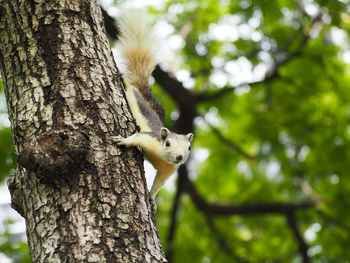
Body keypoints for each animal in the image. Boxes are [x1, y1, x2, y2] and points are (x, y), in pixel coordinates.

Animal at [112, 9, 193, 200]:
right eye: (168, 143)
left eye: (189, 147)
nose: (179, 157)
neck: (163, 158)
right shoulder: (149, 139)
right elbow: (136, 137)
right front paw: (123, 140)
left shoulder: (168, 171)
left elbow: (159, 183)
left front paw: (151, 197)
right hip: (132, 92)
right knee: (130, 86)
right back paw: (123, 79)